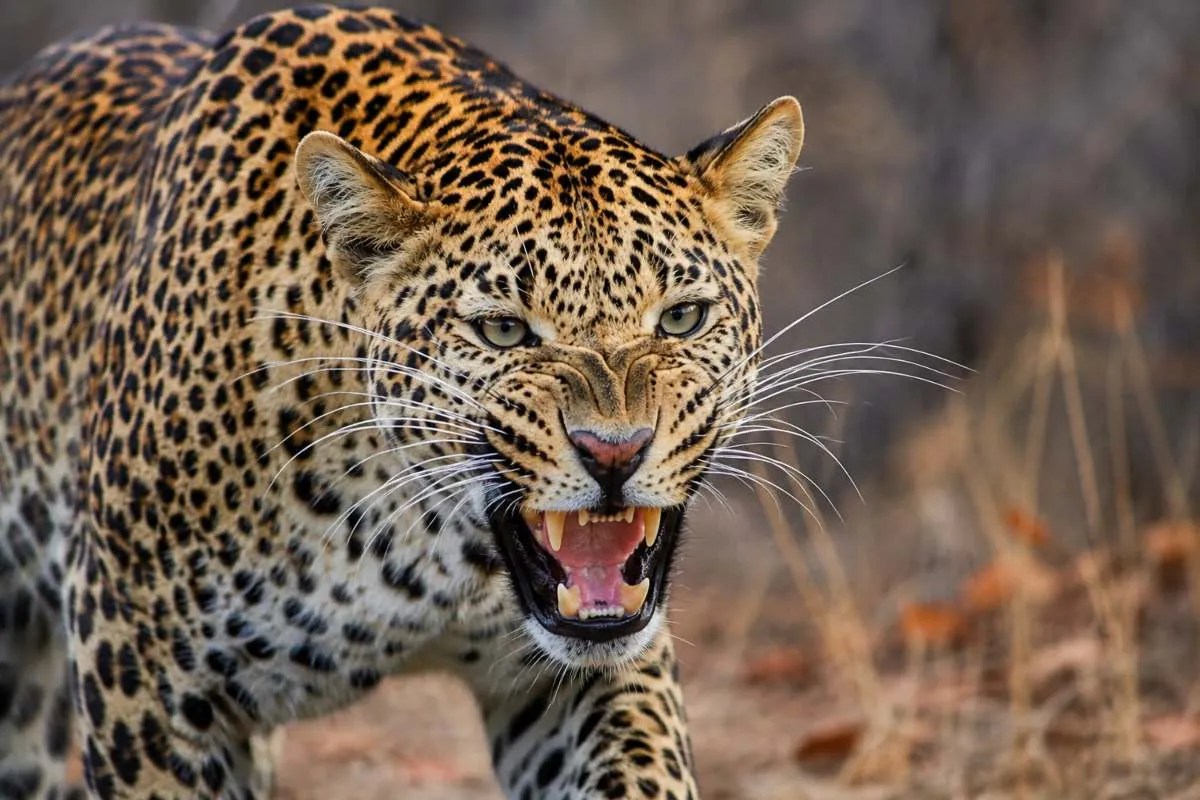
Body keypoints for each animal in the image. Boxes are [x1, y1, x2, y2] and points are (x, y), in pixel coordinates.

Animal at [0, 5, 804, 798]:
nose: (616, 451)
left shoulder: (578, 679)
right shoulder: (143, 672)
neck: (411, 535)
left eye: (682, 318)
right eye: (503, 329)